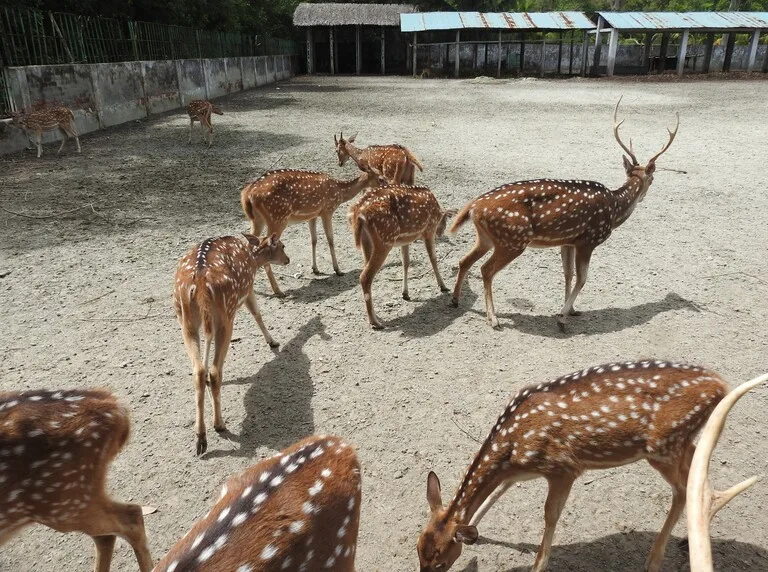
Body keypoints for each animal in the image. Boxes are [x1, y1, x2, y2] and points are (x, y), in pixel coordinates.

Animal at [173, 233, 290, 455]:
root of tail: (200, 283)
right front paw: (273, 341)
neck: (252, 259)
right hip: (226, 314)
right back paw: (219, 424)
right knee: (215, 371)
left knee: (198, 370)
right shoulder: (248, 288)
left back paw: (200, 437)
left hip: (185, 318)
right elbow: (257, 314)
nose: (288, 259)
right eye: (282, 246)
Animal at [240, 166, 387, 297]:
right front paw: (338, 270)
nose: (388, 186)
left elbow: (314, 240)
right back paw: (278, 290)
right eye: (380, 178)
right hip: (277, 218)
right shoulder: (327, 210)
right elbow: (330, 239)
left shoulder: (313, 215)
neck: (339, 191)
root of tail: (247, 195)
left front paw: (315, 269)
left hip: (256, 220)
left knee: (249, 243)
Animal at [348, 184, 456, 329]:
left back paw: (376, 316)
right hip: (385, 239)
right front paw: (443, 286)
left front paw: (405, 293)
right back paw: (375, 322)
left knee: (366, 272)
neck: (437, 209)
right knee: (365, 276)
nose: (441, 232)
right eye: (444, 220)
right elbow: (433, 258)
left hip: (367, 242)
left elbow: (406, 261)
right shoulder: (429, 229)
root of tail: (358, 213)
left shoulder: (405, 240)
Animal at [417, 360, 731, 572]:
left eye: (441, 562)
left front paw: (538, 566)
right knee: (697, 472)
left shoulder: (562, 468)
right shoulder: (520, 472)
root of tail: (722, 386)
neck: (512, 447)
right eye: (418, 550)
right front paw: (479, 535)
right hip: (680, 443)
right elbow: (496, 494)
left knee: (682, 490)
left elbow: (550, 515)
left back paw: (653, 560)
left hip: (662, 448)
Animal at [450, 98, 679, 330]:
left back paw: (455, 300)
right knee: (486, 269)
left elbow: (568, 274)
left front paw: (571, 310)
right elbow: (582, 278)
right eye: (653, 179)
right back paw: (493, 318)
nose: (643, 197)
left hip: (486, 237)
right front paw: (562, 318)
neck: (614, 210)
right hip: (513, 239)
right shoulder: (588, 240)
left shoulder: (568, 241)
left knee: (464, 260)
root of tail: (474, 205)